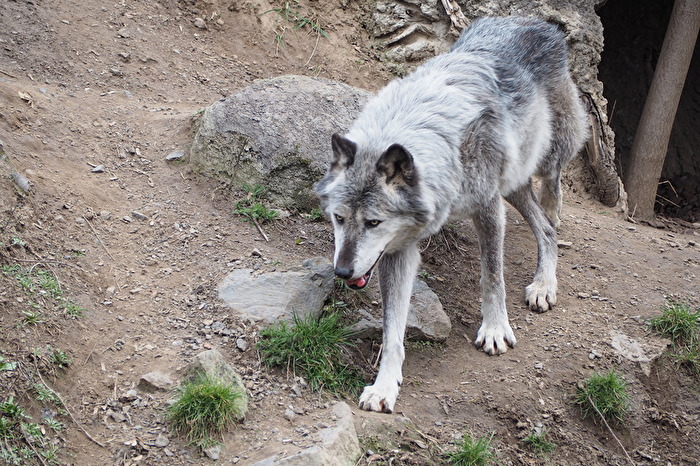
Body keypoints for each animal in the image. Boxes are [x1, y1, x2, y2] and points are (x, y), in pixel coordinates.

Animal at [314, 16, 589, 413]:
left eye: (373, 223)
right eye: (338, 219)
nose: (343, 272)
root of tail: (533, 20)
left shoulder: (488, 208)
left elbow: (492, 278)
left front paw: (495, 330)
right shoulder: (399, 251)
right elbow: (392, 330)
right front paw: (384, 388)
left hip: (542, 159)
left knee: (552, 194)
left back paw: (546, 266)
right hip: (513, 183)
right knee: (546, 228)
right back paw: (543, 281)